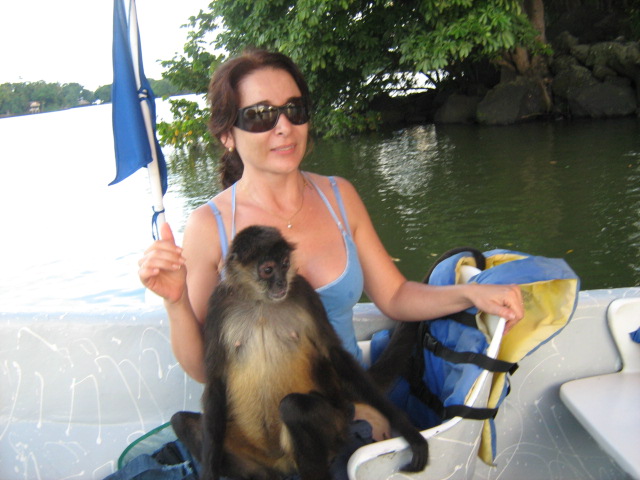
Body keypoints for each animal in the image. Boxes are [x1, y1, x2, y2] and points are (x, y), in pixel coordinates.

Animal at [172, 226, 428, 480]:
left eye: (285, 264)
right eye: (267, 270)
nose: (280, 283)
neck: (261, 302)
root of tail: (280, 463)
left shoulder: (303, 291)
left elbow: (334, 353)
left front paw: (407, 429)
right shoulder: (219, 302)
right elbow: (215, 378)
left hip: (336, 426)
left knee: (294, 408)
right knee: (181, 421)